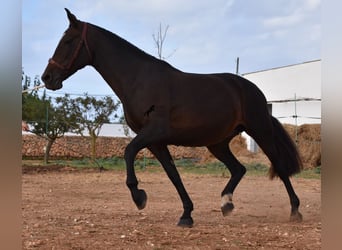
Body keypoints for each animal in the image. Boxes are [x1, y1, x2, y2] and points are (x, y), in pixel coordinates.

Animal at [42, 8, 302, 228]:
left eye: (67, 41)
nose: (47, 78)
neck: (139, 79)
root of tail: (252, 89)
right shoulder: (156, 142)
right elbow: (173, 175)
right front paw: (186, 215)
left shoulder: (153, 133)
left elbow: (128, 151)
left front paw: (139, 197)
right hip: (217, 143)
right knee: (239, 169)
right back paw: (226, 204)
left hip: (260, 131)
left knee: (279, 166)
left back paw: (295, 211)